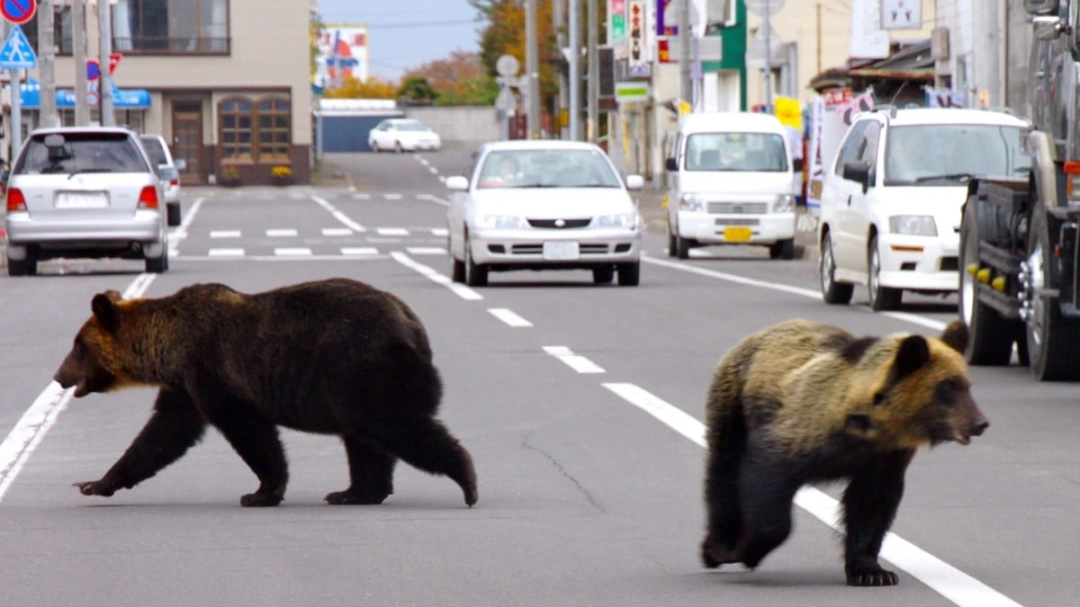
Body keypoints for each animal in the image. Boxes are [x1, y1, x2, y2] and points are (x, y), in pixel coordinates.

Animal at [52, 278, 478, 509]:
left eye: (78, 345)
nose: (58, 376)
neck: (168, 347)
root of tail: (412, 326)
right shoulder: (184, 386)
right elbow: (161, 435)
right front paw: (94, 483)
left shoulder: (211, 370)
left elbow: (249, 431)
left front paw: (260, 491)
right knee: (364, 439)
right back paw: (353, 491)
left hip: (359, 366)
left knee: (392, 425)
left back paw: (466, 480)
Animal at [699, 318, 988, 587]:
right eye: (947, 386)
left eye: (967, 385)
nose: (980, 423)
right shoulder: (800, 433)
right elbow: (767, 479)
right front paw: (746, 551)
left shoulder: (883, 459)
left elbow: (870, 506)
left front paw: (873, 572)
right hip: (734, 402)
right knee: (724, 469)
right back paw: (717, 546)